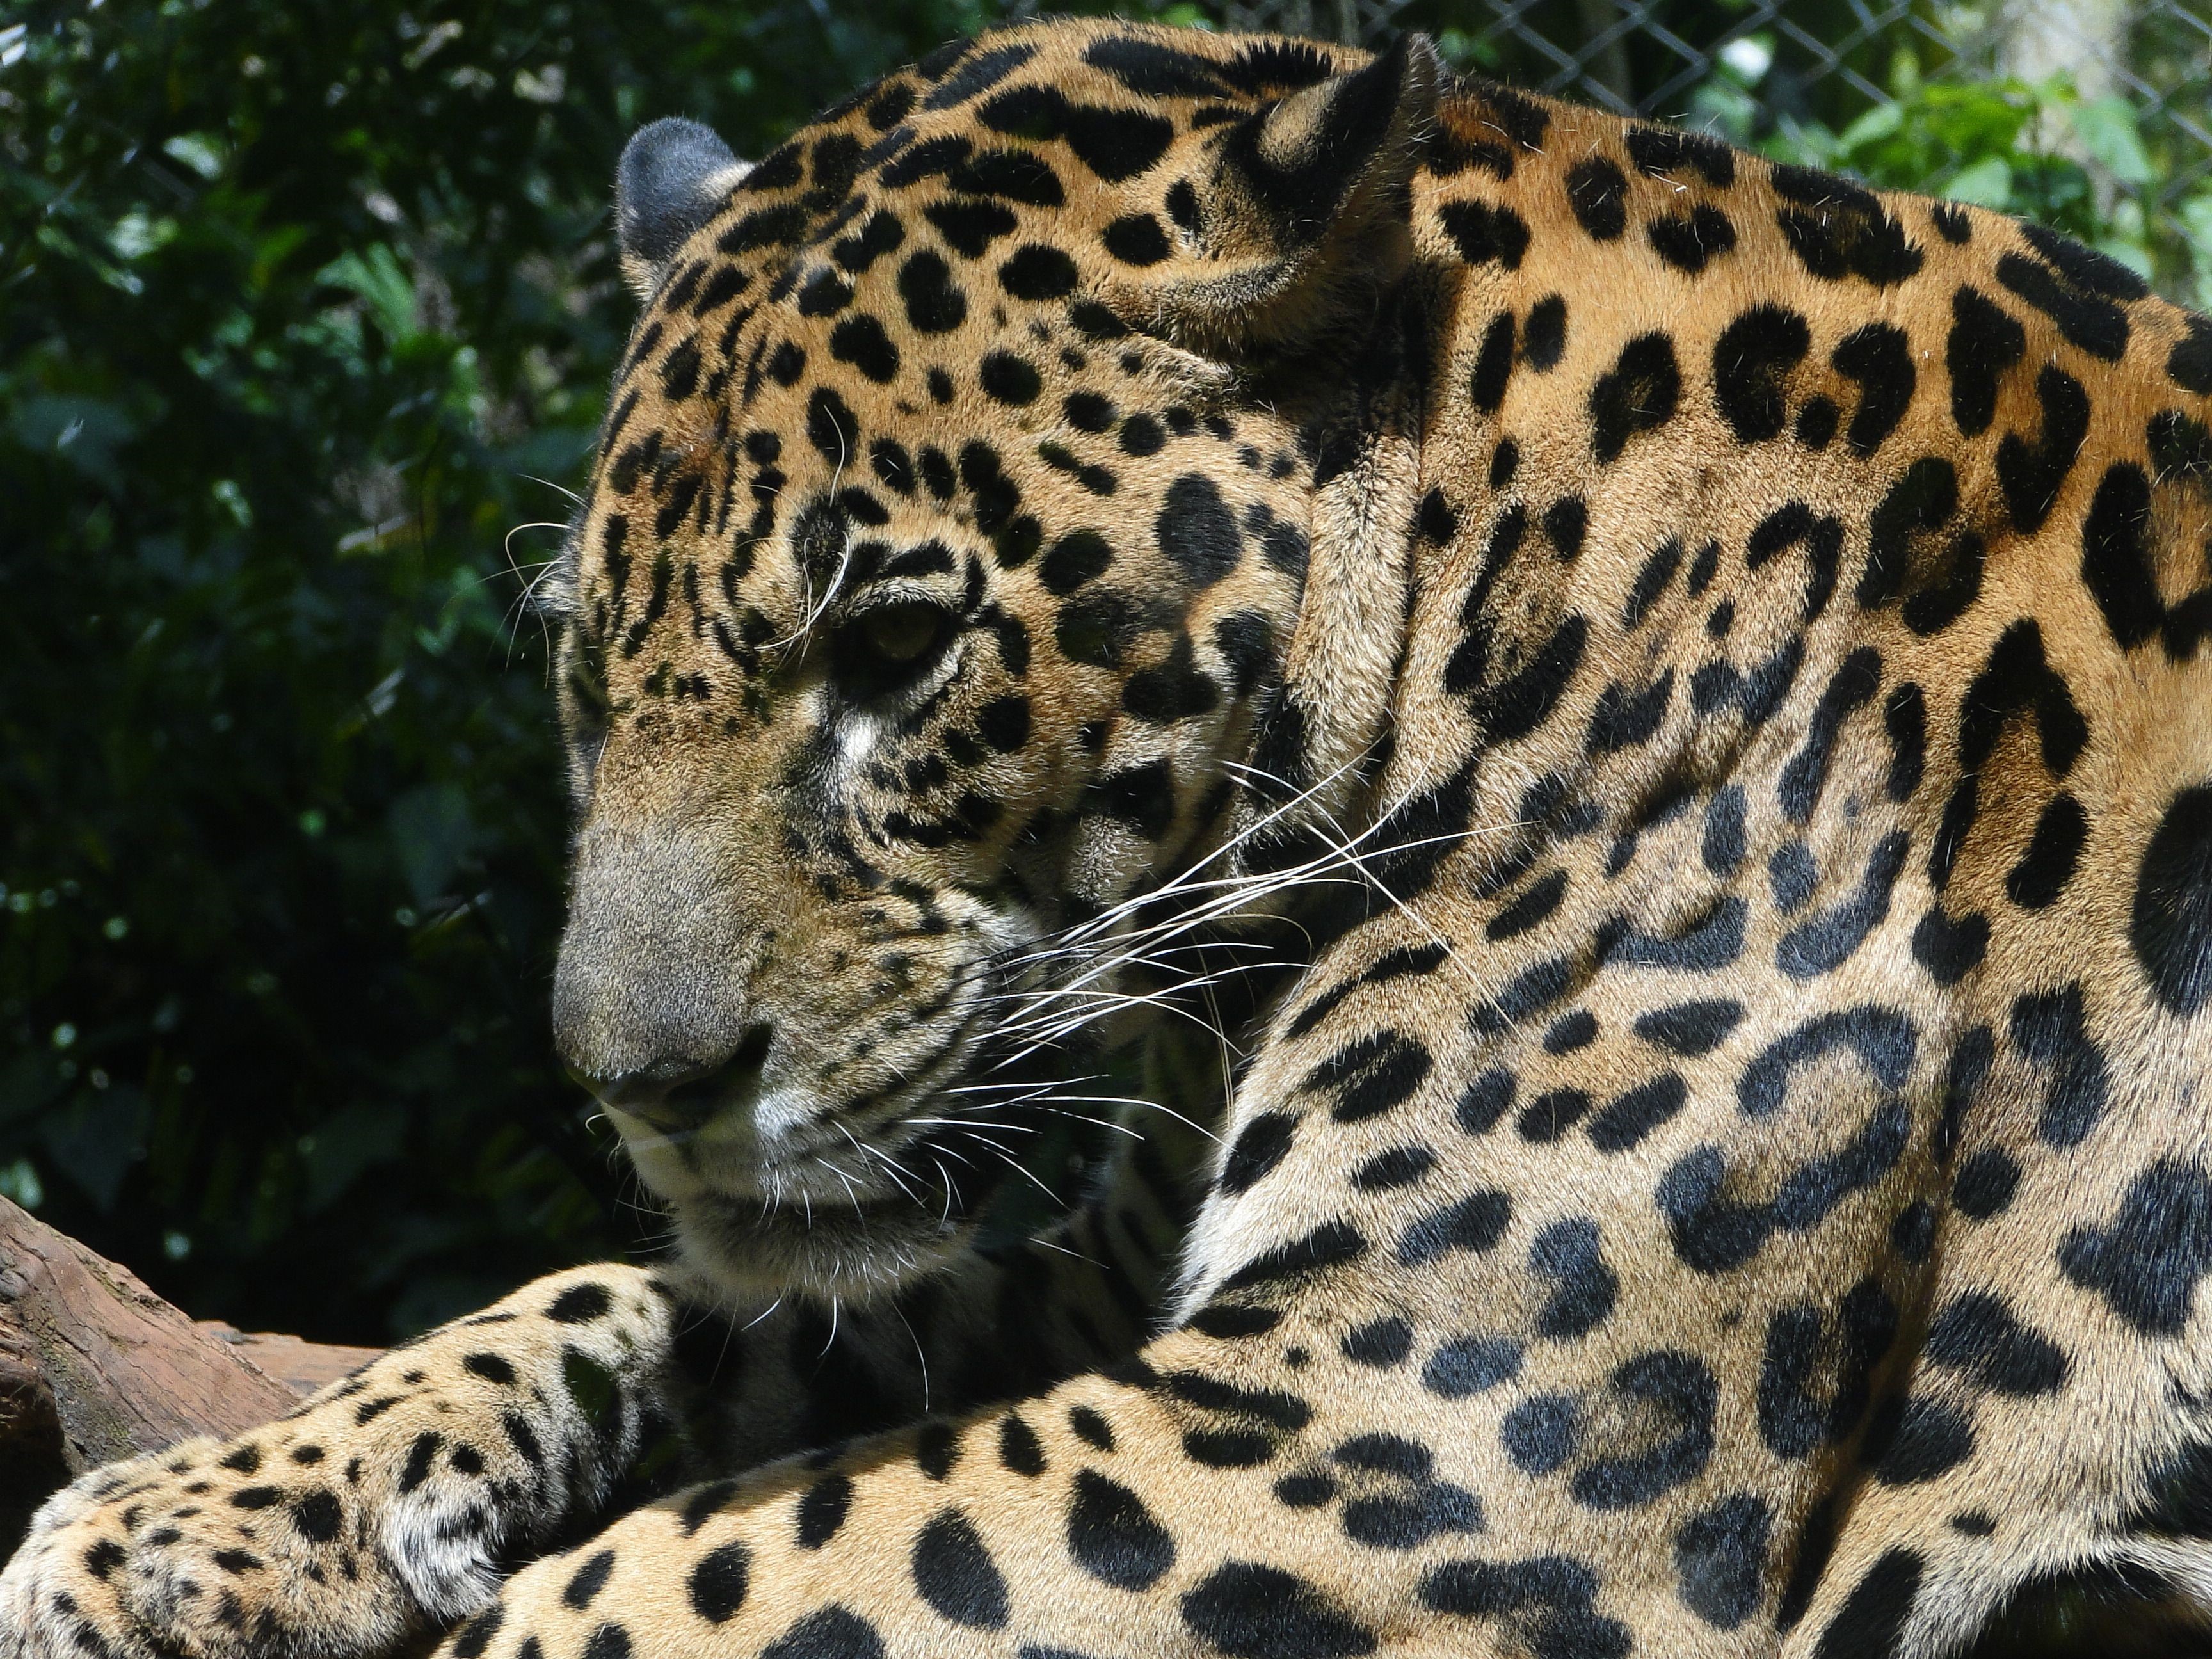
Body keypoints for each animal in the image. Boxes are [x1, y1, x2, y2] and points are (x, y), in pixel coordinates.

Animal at [10, 15, 2212, 1658]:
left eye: (898, 649)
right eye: (583, 669)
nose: (642, 1091)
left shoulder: (1408, 1448)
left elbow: (693, 1579)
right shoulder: (1116, 1290)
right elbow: (634, 1301)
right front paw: (182, 1522)